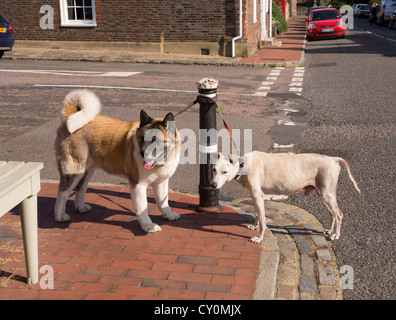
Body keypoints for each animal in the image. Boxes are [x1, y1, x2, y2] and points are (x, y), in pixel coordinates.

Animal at [54, 90, 181, 232]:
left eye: (155, 140)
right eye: (142, 138)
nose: (142, 153)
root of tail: (68, 118)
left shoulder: (161, 182)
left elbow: (163, 201)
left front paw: (168, 215)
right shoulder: (138, 185)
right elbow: (143, 207)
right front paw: (148, 226)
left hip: (87, 171)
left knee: (81, 187)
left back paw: (80, 207)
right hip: (74, 170)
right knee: (63, 192)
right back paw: (60, 215)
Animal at [212, 152, 360, 242]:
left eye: (224, 172)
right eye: (213, 169)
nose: (213, 185)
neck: (245, 164)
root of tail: (332, 159)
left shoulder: (258, 195)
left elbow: (263, 219)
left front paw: (259, 237)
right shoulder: (254, 196)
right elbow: (257, 213)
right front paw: (254, 226)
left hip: (326, 194)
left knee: (339, 214)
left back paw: (336, 234)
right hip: (322, 193)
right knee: (332, 213)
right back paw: (330, 230)